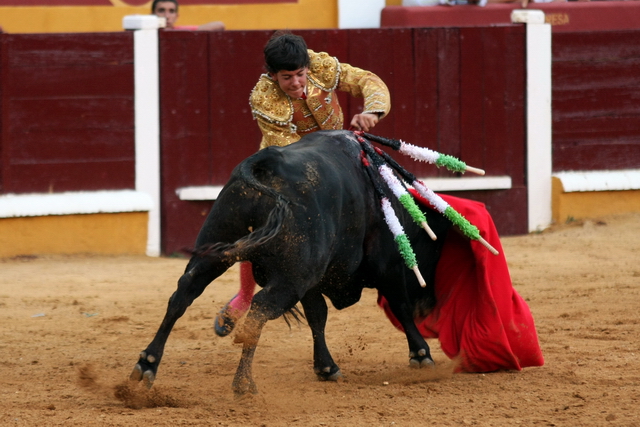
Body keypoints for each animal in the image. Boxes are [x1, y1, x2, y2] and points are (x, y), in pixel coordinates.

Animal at [130, 130, 452, 394]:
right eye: (434, 251)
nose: (430, 304)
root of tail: (264, 163)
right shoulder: (387, 263)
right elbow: (399, 304)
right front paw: (421, 355)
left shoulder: (311, 279)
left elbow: (317, 315)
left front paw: (326, 367)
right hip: (289, 279)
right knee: (258, 310)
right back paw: (243, 384)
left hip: (216, 248)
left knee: (183, 293)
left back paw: (147, 365)